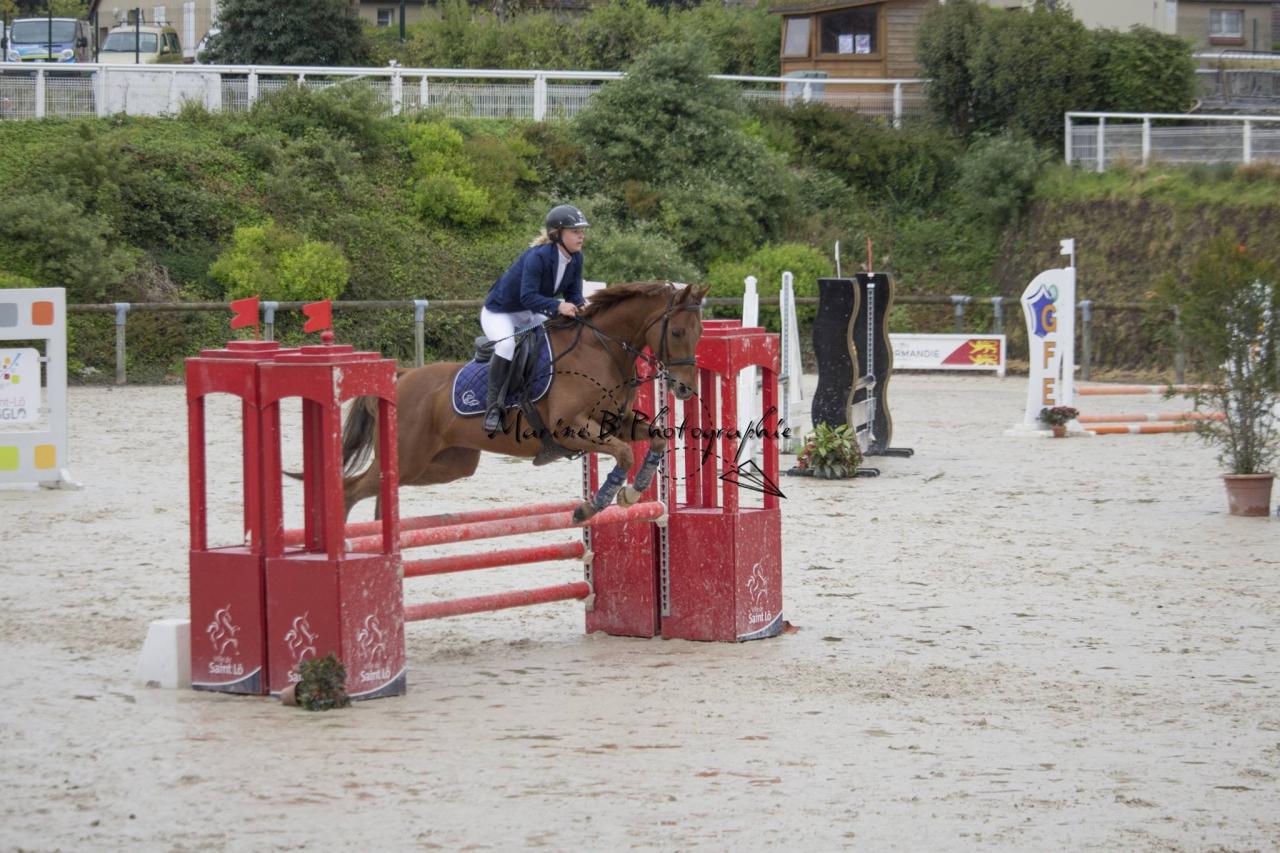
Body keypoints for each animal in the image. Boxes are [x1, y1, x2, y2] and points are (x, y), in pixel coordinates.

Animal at [340, 280, 706, 517]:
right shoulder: (570, 428)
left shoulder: (616, 422)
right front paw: (593, 505)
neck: (600, 350)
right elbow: (625, 453)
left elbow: (656, 439)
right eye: (676, 332)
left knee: (380, 491)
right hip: (409, 458)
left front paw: (631, 492)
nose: (685, 389)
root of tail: (402, 378)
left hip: (448, 463)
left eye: (700, 332)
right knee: (350, 489)